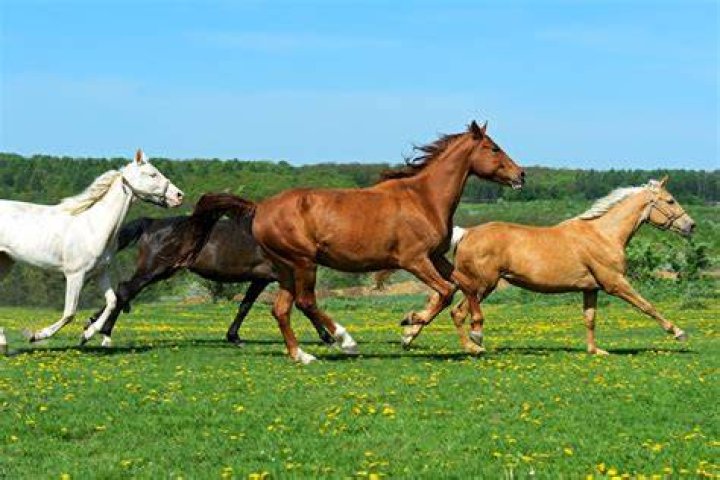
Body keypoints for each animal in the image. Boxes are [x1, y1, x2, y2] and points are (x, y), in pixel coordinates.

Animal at [0, 150, 184, 348]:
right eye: (152, 174)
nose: (179, 196)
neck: (94, 227)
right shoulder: (75, 275)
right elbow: (69, 313)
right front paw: (36, 335)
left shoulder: (100, 272)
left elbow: (112, 301)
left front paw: (88, 334)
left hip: (5, 262)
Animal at [81, 211, 333, 347]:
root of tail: (152, 223)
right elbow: (304, 305)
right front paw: (327, 337)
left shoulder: (260, 279)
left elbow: (245, 305)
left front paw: (234, 337)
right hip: (154, 271)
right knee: (125, 290)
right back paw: (104, 331)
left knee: (122, 292)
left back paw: (94, 323)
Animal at [221, 121, 525, 363]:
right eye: (493, 148)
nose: (521, 174)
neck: (423, 199)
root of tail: (260, 207)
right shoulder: (414, 260)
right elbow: (447, 291)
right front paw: (411, 324)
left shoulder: (435, 256)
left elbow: (467, 285)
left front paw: (475, 334)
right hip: (303, 262)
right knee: (305, 302)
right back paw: (346, 342)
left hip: (286, 267)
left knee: (281, 309)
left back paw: (301, 355)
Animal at [441, 177, 694, 355]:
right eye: (670, 200)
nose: (691, 226)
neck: (603, 234)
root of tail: (466, 233)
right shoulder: (615, 283)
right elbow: (646, 306)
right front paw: (679, 333)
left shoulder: (591, 288)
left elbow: (590, 318)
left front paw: (595, 351)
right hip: (483, 285)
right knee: (458, 313)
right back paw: (474, 347)